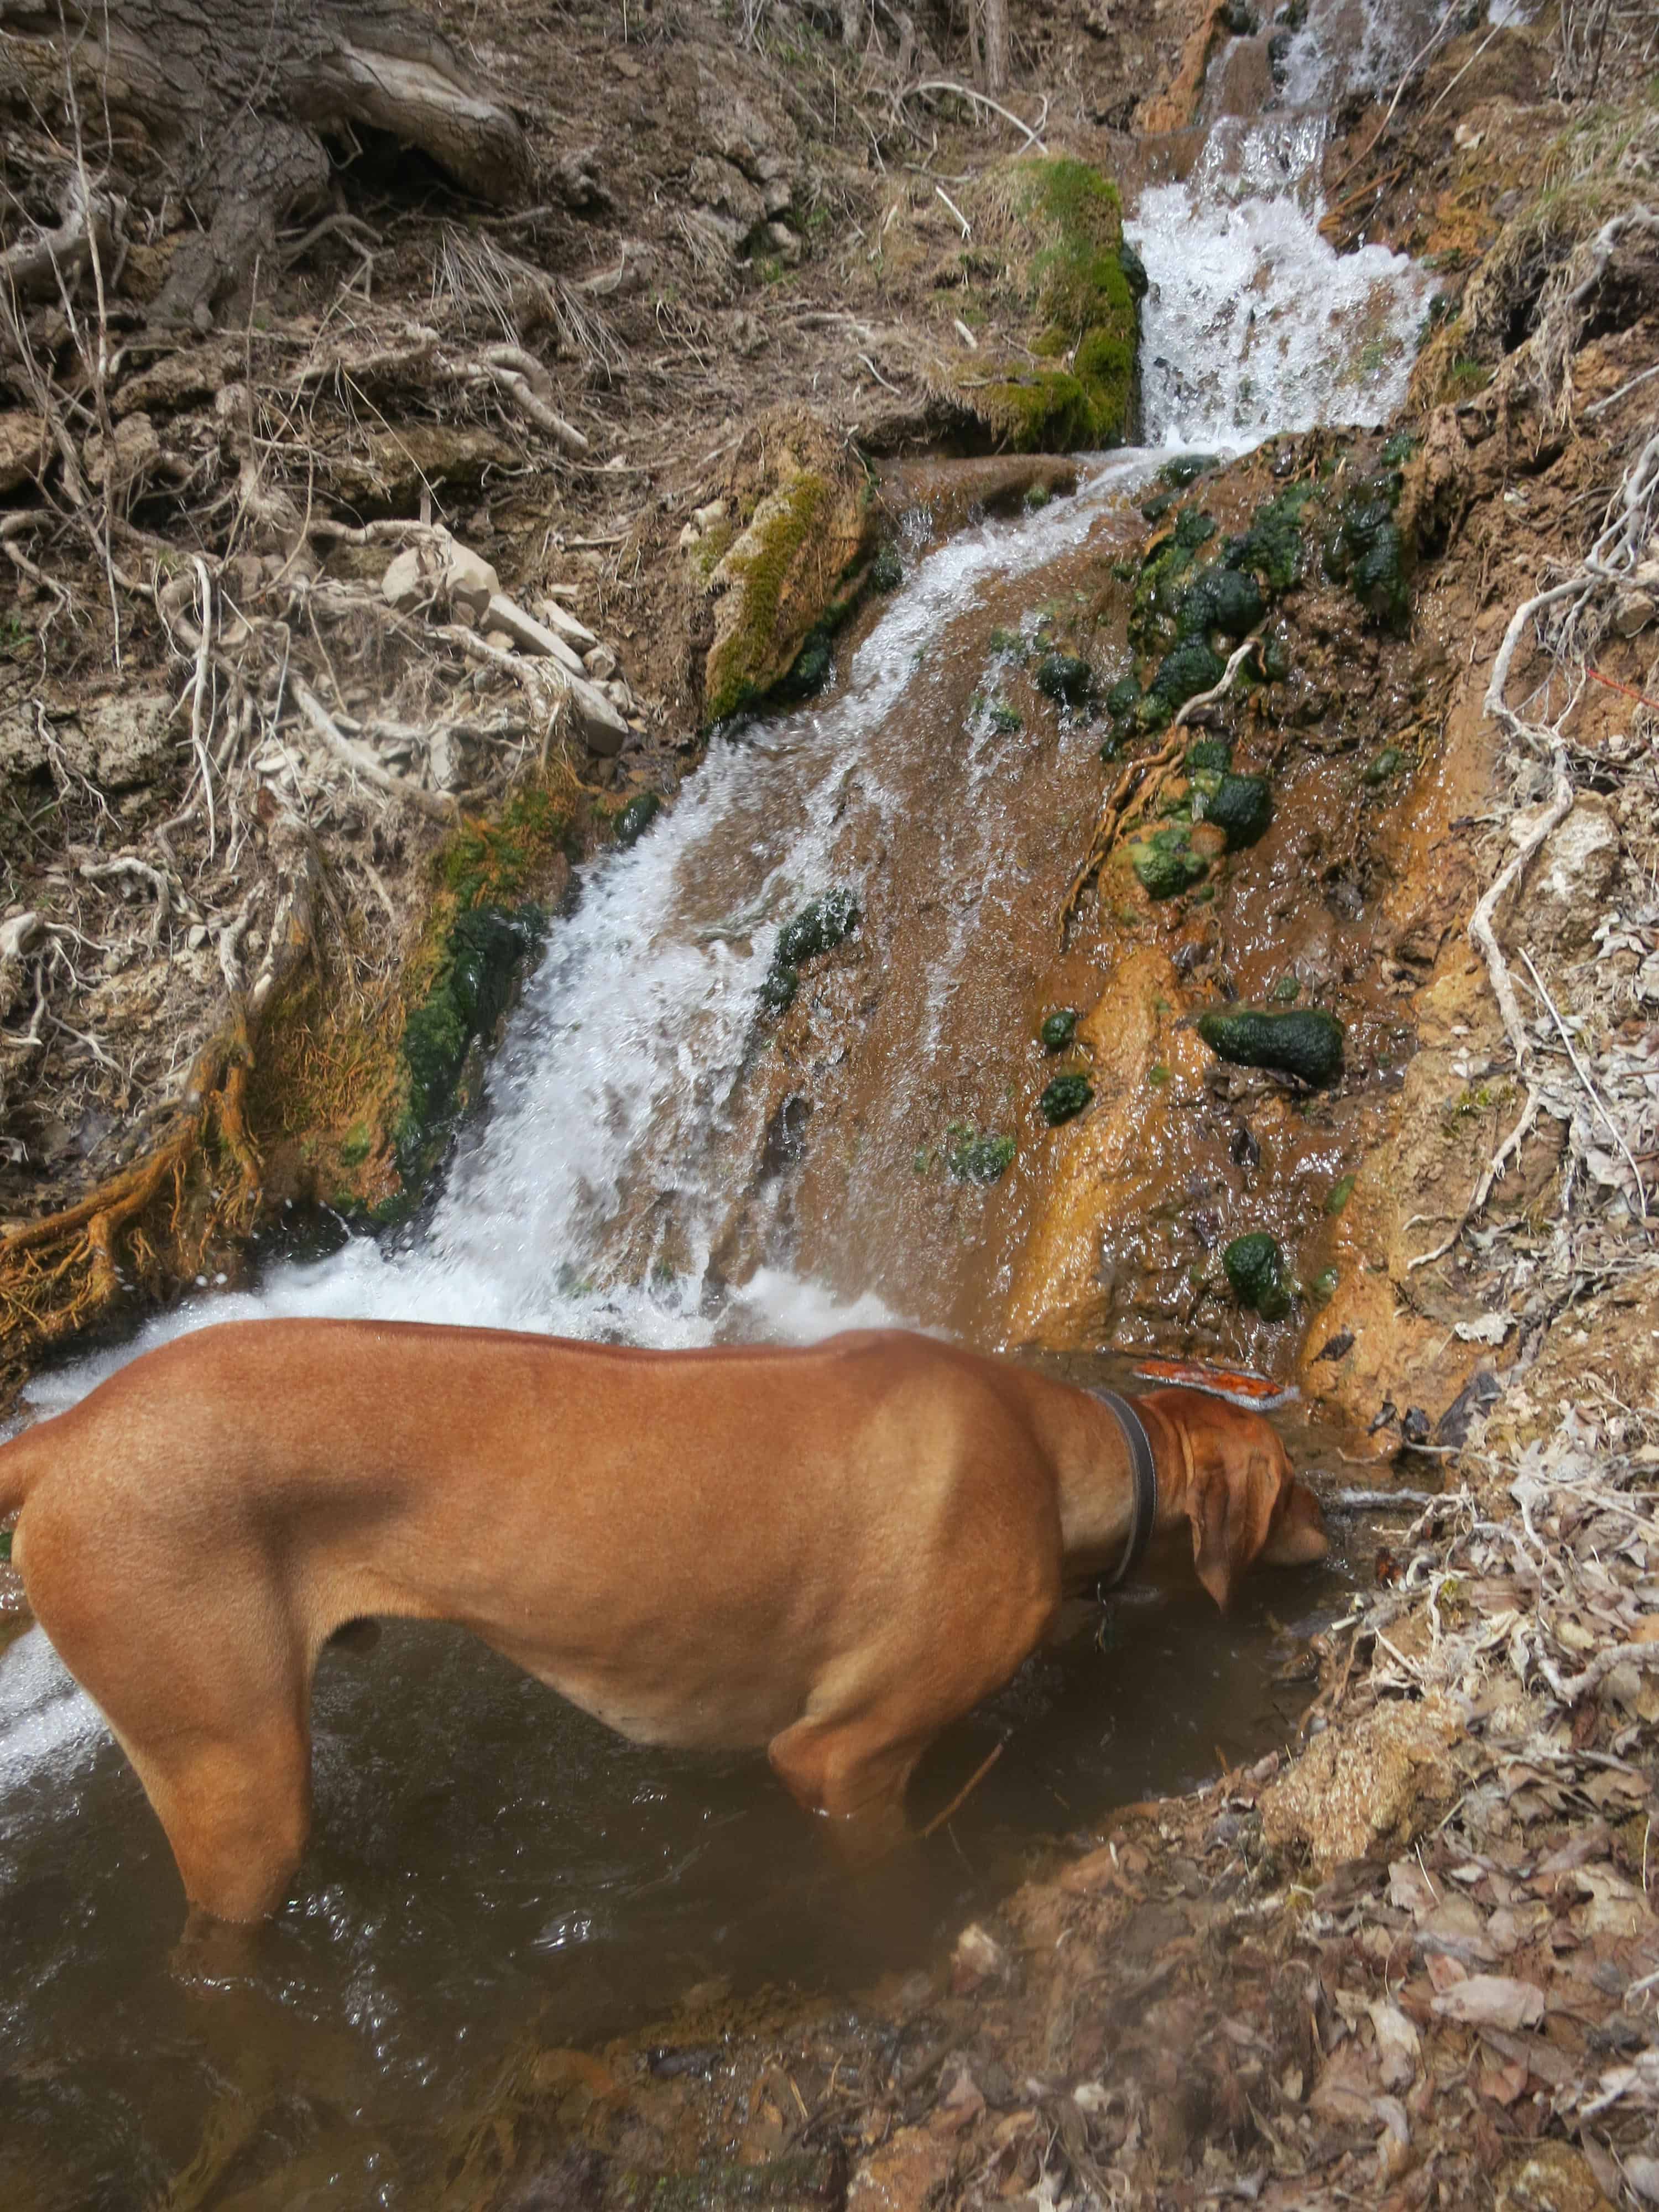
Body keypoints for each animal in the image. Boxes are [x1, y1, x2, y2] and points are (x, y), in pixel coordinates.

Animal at [0, 1318, 1327, 1929]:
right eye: (1296, 1483)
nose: (1341, 1527)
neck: (1051, 1453)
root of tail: (65, 1433)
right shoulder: (840, 1760)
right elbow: (887, 1877)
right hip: (232, 1784)